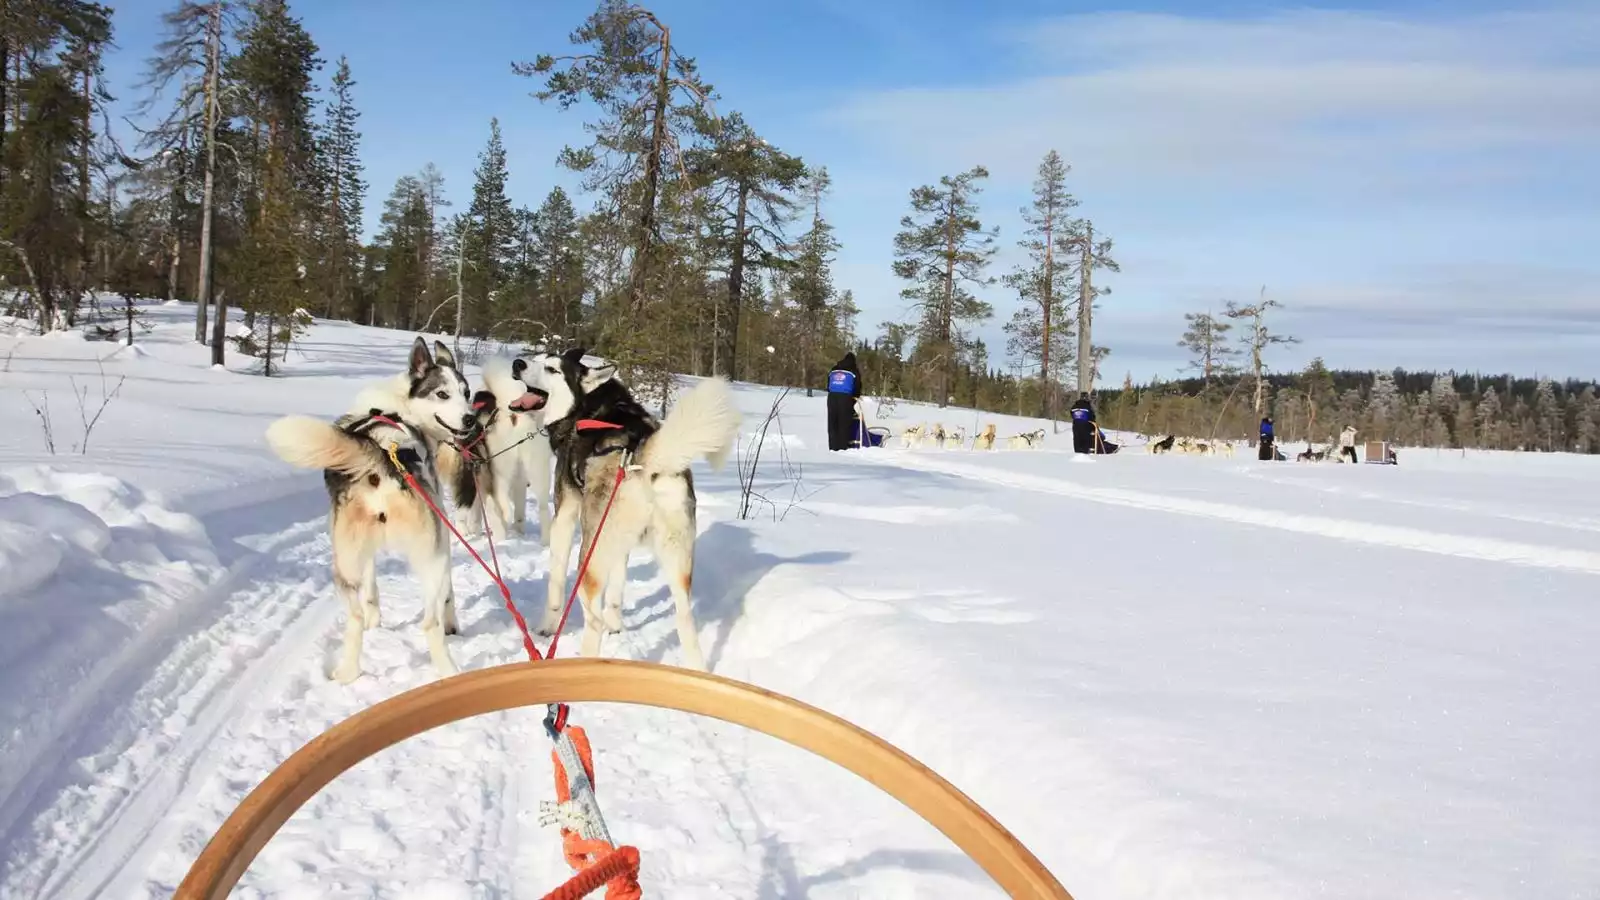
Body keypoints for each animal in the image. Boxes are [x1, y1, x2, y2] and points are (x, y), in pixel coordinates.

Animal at [265, 336, 476, 679]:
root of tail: (381, 463)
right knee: (429, 622)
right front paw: (452, 623)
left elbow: (371, 589)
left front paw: (375, 619)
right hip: (432, 559)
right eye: (442, 394)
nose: (470, 418)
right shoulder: (443, 537)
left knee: (355, 618)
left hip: (344, 567)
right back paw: (449, 670)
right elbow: (450, 595)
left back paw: (347, 672)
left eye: (466, 392)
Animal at [528, 347, 745, 669]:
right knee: (684, 621)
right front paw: (616, 624)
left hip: (590, 557)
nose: (518, 364)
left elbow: (555, 582)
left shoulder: (564, 515)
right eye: (537, 359)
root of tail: (644, 459)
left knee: (592, 620)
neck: (585, 409)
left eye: (552, 369)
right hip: (674, 562)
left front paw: (547, 626)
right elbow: (616, 590)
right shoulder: (620, 543)